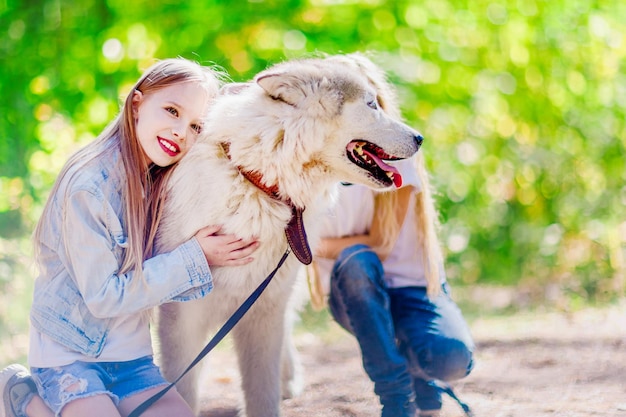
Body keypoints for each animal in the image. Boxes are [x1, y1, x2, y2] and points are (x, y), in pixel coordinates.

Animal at [154, 55, 422, 416]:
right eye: (371, 104)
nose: (420, 138)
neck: (258, 182)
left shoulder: (264, 308)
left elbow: (262, 393)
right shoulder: (182, 316)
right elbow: (181, 386)